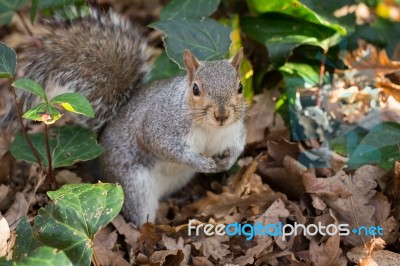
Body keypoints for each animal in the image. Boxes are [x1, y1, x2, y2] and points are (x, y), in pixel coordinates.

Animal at [0, 8, 247, 225]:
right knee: (139, 216)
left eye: (240, 87)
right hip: (133, 186)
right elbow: (165, 147)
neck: (210, 129)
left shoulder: (233, 131)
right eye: (196, 89)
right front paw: (201, 162)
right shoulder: (160, 124)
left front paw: (228, 161)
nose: (222, 115)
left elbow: (238, 145)